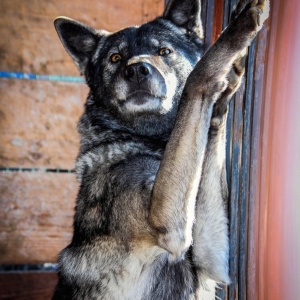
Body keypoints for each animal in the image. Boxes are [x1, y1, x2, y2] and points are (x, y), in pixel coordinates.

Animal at [53, 0, 270, 298]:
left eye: (164, 52)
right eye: (115, 58)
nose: (136, 71)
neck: (147, 140)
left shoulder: (212, 258)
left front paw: (226, 85)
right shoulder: (169, 224)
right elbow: (196, 80)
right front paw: (240, 26)